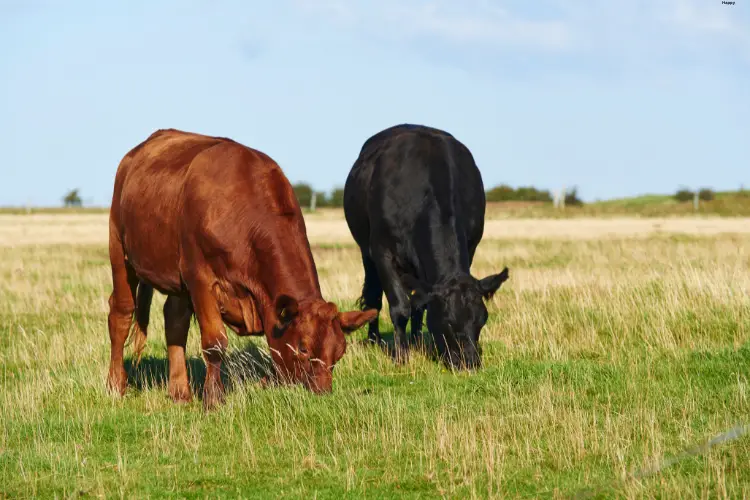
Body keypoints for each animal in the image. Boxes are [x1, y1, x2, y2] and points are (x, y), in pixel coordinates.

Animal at [108, 129, 378, 410]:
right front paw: (213, 399)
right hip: (119, 247)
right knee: (121, 313)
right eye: (303, 348)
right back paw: (116, 385)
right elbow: (215, 342)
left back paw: (180, 392)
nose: (322, 393)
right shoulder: (200, 277)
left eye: (339, 352)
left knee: (174, 320)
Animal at [346, 123, 512, 370]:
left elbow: (419, 306)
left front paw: (417, 346)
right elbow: (399, 307)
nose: (470, 362)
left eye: (483, 320)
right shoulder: (382, 252)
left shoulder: (470, 247)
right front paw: (401, 358)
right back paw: (374, 339)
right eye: (448, 322)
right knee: (374, 297)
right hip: (366, 252)